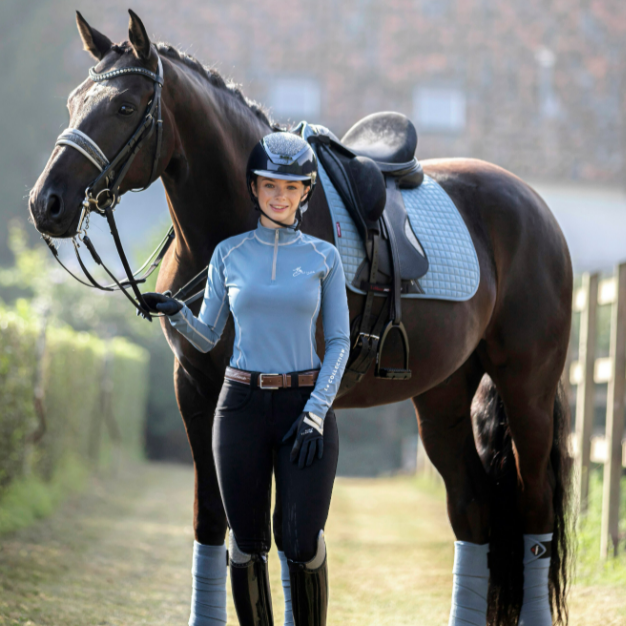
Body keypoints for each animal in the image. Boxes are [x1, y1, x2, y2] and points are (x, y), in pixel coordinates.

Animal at [31, 11, 572, 624]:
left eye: (125, 106)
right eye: (74, 101)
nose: (46, 203)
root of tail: (534, 205)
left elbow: (292, 535)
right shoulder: (196, 390)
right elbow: (217, 524)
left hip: (527, 391)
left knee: (534, 512)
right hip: (444, 399)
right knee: (473, 510)